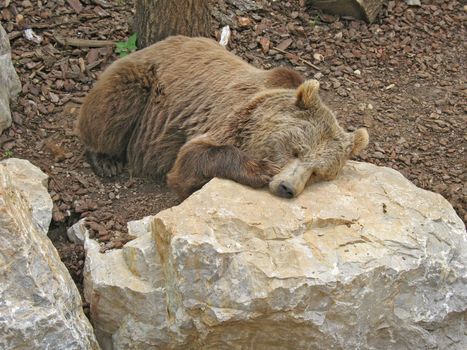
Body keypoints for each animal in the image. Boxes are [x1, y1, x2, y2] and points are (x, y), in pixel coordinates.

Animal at [77, 36, 370, 200]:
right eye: (295, 150)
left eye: (318, 172)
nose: (288, 187)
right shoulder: (230, 118)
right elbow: (192, 158)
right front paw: (261, 169)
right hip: (141, 82)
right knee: (113, 108)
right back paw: (106, 160)